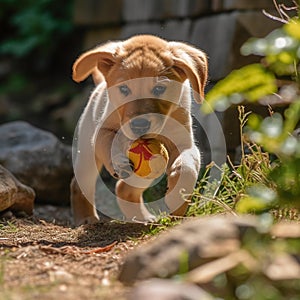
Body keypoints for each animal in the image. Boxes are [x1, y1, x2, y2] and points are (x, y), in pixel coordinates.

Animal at [71, 34, 206, 225]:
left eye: (159, 89)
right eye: (124, 89)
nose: (139, 125)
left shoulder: (184, 142)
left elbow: (187, 168)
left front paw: (177, 199)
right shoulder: (102, 131)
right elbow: (109, 143)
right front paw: (118, 161)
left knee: (123, 189)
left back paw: (143, 218)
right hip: (87, 154)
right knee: (79, 184)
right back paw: (86, 218)